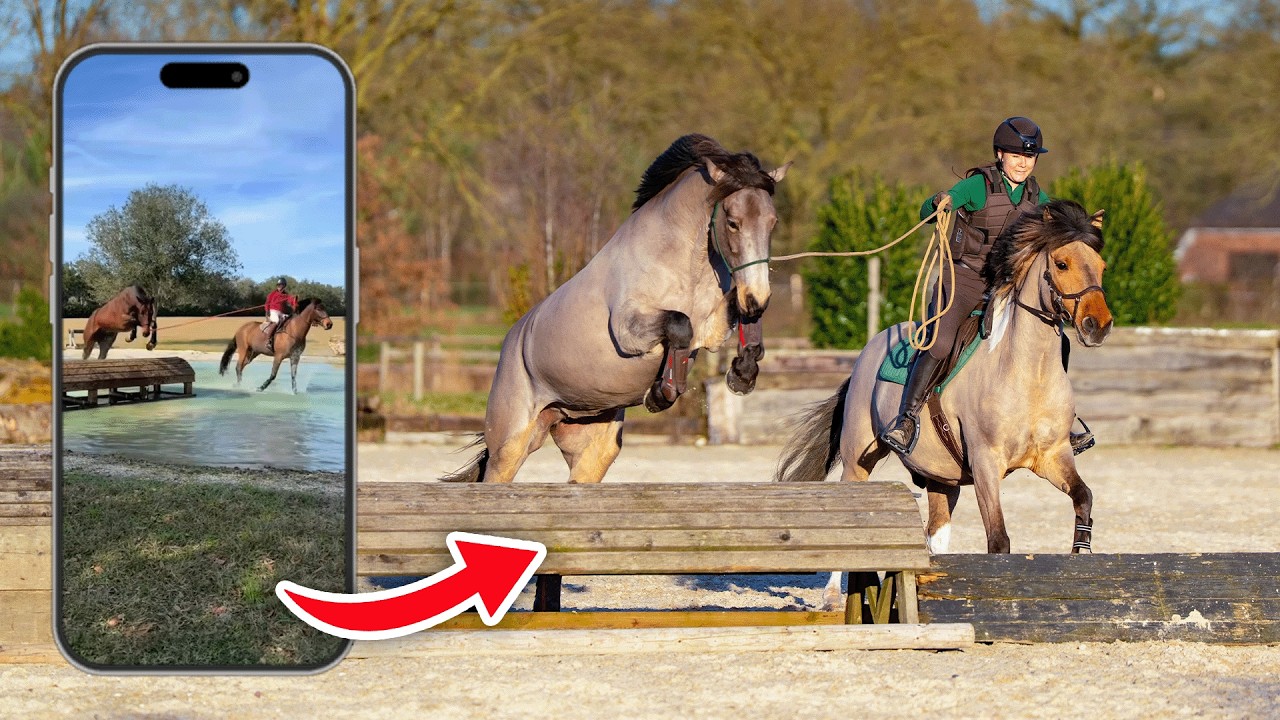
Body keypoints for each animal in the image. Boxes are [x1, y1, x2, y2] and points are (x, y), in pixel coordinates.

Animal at [445, 133, 790, 484]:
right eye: (733, 223)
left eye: (772, 222)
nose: (757, 297)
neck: (682, 264)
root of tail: (511, 341)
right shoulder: (629, 330)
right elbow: (680, 324)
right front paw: (661, 393)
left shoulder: (714, 326)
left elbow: (738, 321)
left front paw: (742, 375)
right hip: (511, 445)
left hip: (593, 447)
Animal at [776, 199, 1111, 609]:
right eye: (1061, 264)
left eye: (1101, 265)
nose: (1099, 325)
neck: (1028, 371)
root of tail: (873, 345)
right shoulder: (986, 463)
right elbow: (998, 538)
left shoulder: (1053, 457)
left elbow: (1083, 498)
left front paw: (1081, 553)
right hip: (858, 458)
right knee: (850, 510)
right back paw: (830, 597)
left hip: (941, 475)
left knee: (935, 532)